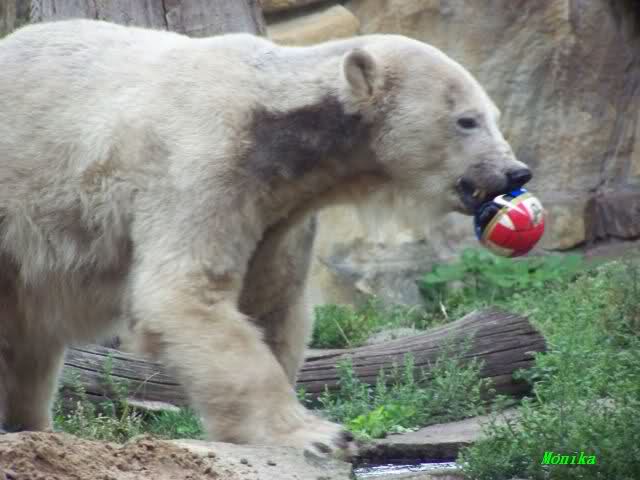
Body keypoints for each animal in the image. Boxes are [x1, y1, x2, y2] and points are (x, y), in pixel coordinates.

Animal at [0, 19, 531, 457]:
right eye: (466, 120)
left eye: (493, 114)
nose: (515, 172)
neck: (279, 126)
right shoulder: (202, 163)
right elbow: (183, 293)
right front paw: (320, 435)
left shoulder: (279, 211)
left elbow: (271, 303)